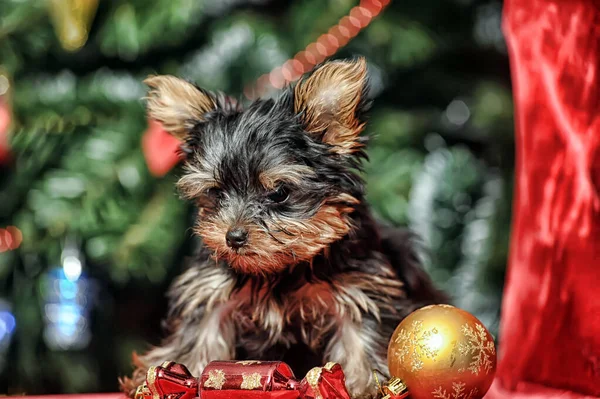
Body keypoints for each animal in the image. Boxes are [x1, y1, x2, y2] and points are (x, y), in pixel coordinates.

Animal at [120, 57, 446, 398]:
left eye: (279, 193)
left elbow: (361, 336)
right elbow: (200, 332)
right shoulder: (209, 289)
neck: (280, 270)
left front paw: (367, 385)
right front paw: (173, 376)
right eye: (216, 192)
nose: (233, 237)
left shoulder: (360, 289)